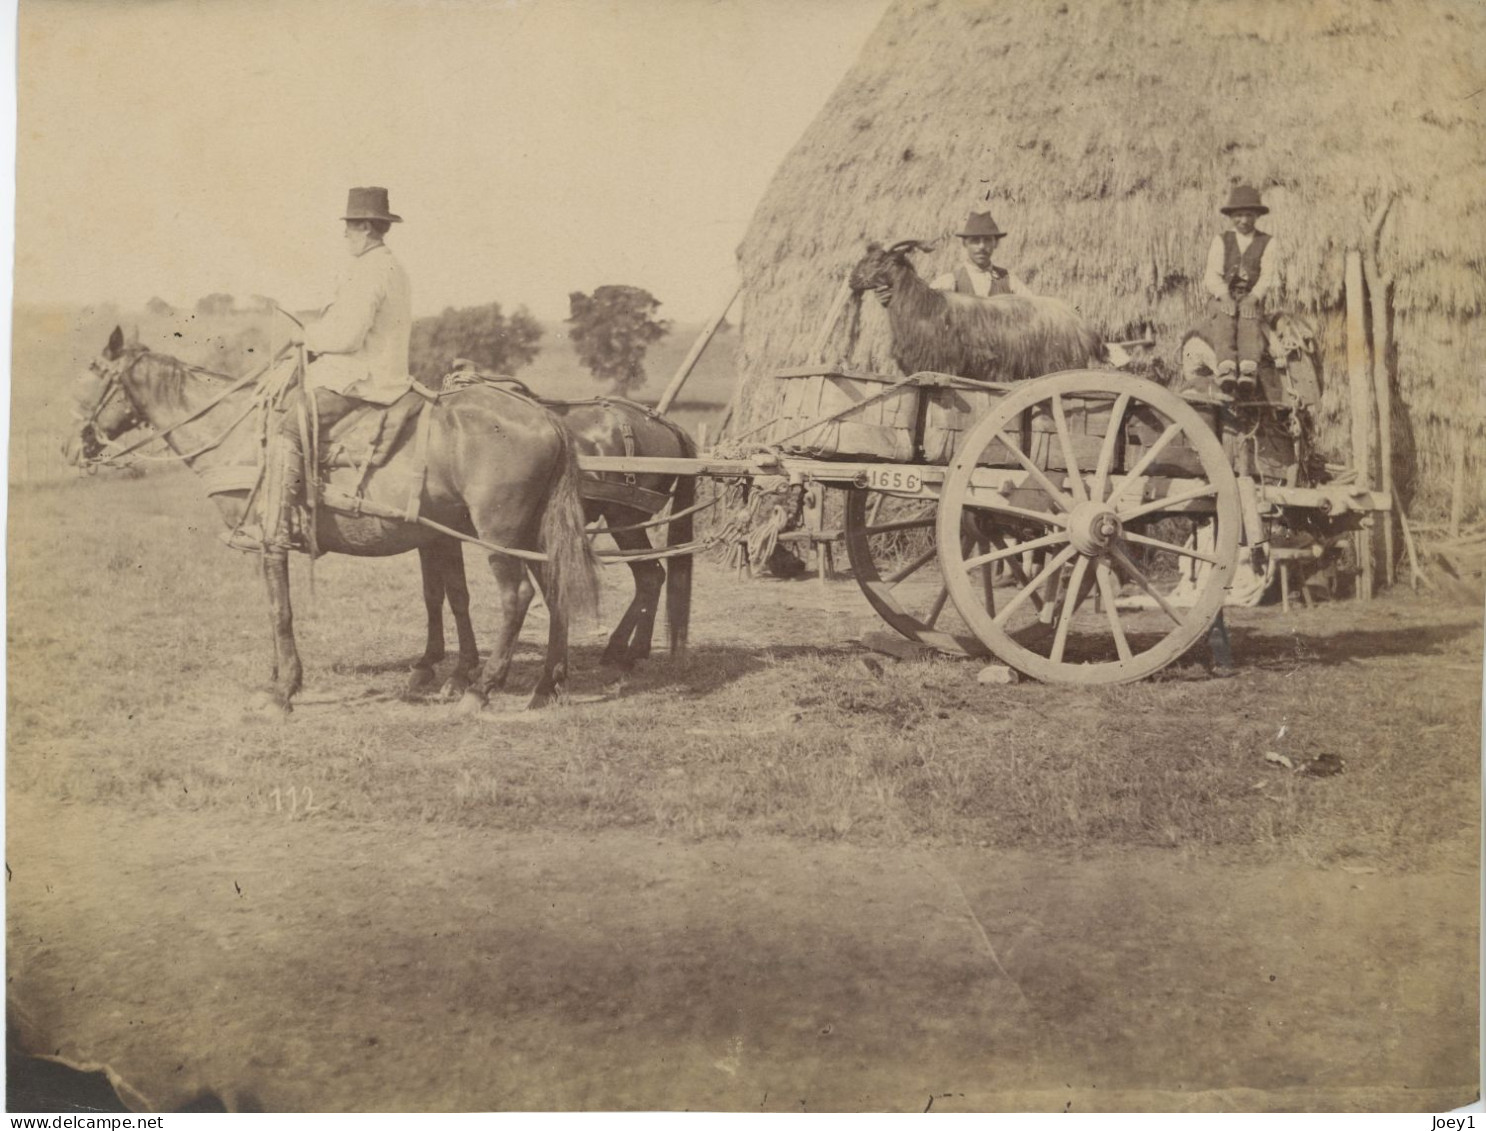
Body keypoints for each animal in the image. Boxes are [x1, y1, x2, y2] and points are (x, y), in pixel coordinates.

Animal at [63, 328, 597, 713]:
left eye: (91, 377)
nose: (70, 446)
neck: (241, 438)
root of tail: (548, 418)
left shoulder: (270, 540)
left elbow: (281, 611)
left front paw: (284, 691)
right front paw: (276, 680)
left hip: (500, 535)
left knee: (517, 596)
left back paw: (481, 690)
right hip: (533, 531)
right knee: (555, 589)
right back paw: (546, 686)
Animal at [413, 398, 695, 698]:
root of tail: (665, 424)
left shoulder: (443, 535)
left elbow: (453, 595)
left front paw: (453, 672)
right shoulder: (429, 536)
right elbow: (433, 593)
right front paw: (430, 662)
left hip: (625, 518)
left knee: (650, 577)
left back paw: (625, 653)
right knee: (651, 577)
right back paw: (623, 652)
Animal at [849, 237, 1105, 378]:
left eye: (878, 261)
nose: (852, 280)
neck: (923, 306)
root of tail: (1082, 325)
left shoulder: (941, 366)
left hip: (1063, 366)